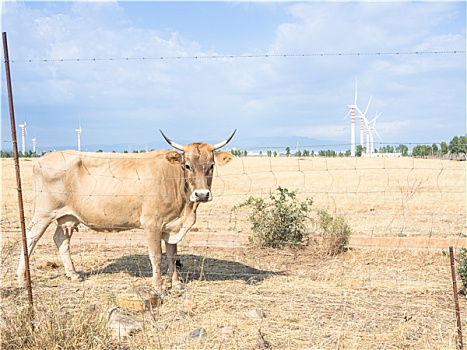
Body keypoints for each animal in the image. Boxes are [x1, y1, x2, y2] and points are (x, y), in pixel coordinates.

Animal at [17, 129, 238, 292]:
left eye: (211, 165)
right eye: (187, 165)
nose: (201, 194)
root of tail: (45, 158)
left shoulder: (172, 226)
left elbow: (172, 256)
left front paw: (176, 284)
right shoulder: (152, 225)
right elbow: (156, 256)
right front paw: (158, 287)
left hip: (67, 216)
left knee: (61, 240)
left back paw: (73, 274)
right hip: (43, 213)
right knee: (30, 239)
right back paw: (21, 277)